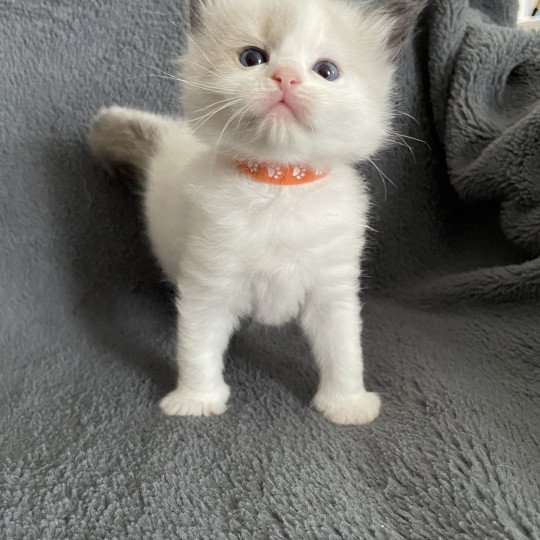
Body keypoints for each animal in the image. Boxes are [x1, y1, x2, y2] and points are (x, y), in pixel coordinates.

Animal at [88, 0, 426, 424]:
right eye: (252, 58)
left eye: (326, 71)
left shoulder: (333, 287)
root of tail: (169, 137)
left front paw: (346, 405)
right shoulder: (208, 282)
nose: (286, 78)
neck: (277, 185)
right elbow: (197, 347)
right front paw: (195, 401)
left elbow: (344, 350)